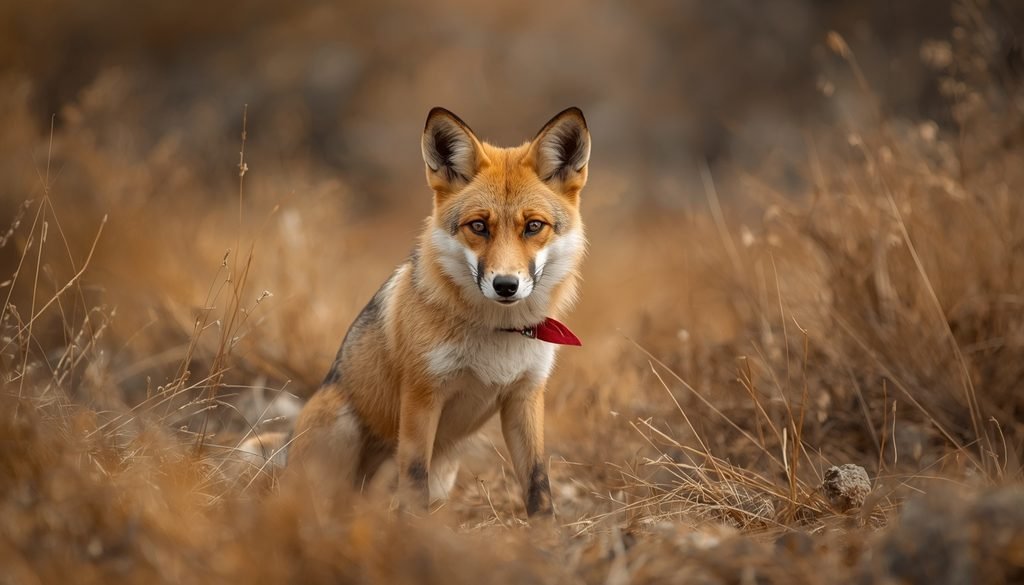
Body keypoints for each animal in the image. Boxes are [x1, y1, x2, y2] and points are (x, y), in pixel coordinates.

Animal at [285, 107, 590, 517]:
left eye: (533, 226)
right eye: (478, 226)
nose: (506, 285)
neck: (499, 334)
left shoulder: (524, 396)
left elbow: (538, 483)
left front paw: (546, 532)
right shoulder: (422, 396)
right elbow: (414, 478)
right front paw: (413, 529)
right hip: (342, 428)